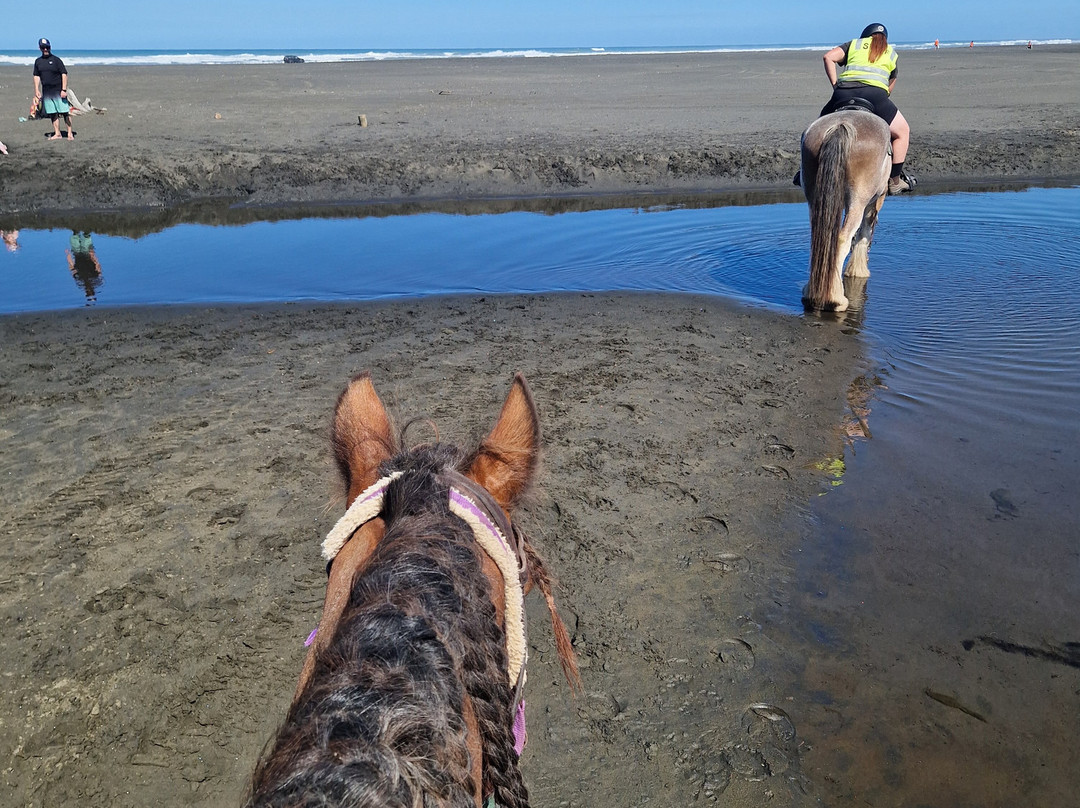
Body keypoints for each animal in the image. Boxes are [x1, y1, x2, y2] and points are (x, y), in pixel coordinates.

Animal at [799, 107, 892, 312]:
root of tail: (840, 126)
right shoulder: (876, 199)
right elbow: (865, 232)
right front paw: (858, 270)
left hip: (815, 196)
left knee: (821, 236)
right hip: (858, 200)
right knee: (843, 237)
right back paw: (834, 299)